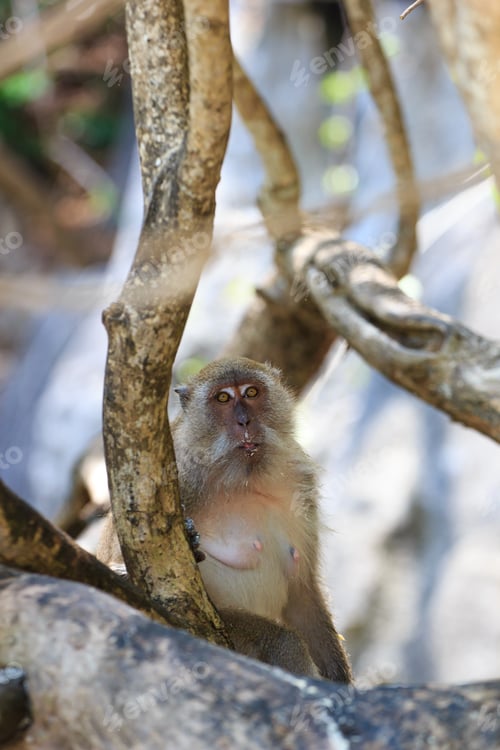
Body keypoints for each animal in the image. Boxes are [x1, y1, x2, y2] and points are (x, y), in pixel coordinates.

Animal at [97, 357, 352, 683]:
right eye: (222, 398)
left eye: (252, 392)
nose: (244, 422)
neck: (242, 477)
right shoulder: (175, 472)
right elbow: (124, 561)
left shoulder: (299, 482)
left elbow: (302, 589)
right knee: (284, 642)